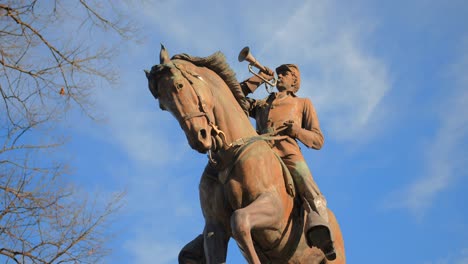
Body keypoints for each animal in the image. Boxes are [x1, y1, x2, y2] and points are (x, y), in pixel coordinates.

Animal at [144, 46, 346, 262]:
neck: (227, 157)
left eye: (179, 85)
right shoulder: (214, 227)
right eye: (163, 106)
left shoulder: (274, 206)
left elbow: (239, 221)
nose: (199, 137)